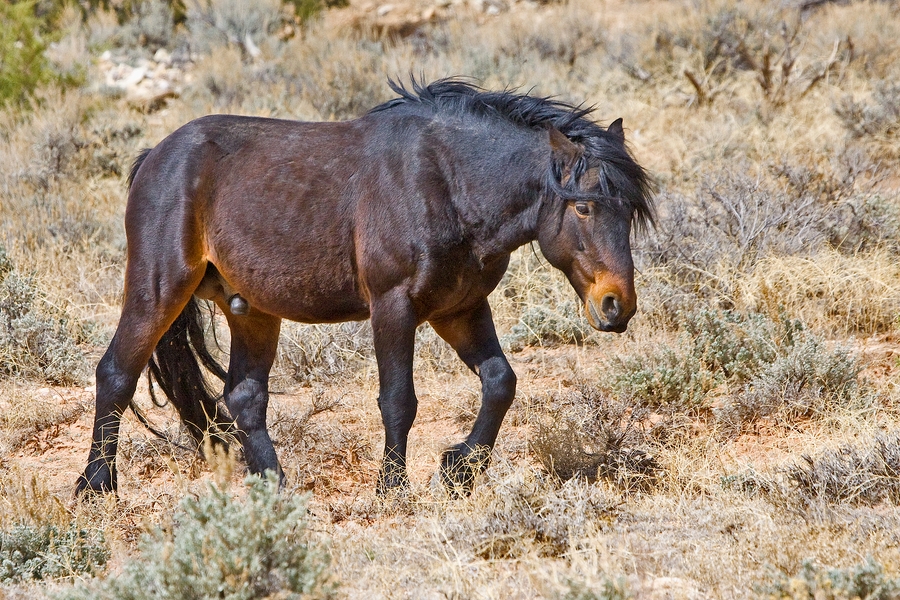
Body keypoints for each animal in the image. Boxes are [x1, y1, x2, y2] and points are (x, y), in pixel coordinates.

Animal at [75, 77, 652, 496]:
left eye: (629, 211)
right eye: (584, 206)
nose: (616, 306)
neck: (446, 182)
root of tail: (154, 156)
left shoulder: (460, 308)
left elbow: (500, 382)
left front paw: (458, 470)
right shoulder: (394, 307)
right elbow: (398, 399)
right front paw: (393, 487)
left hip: (252, 310)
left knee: (244, 398)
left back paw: (277, 490)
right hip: (159, 289)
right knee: (117, 373)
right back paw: (96, 486)